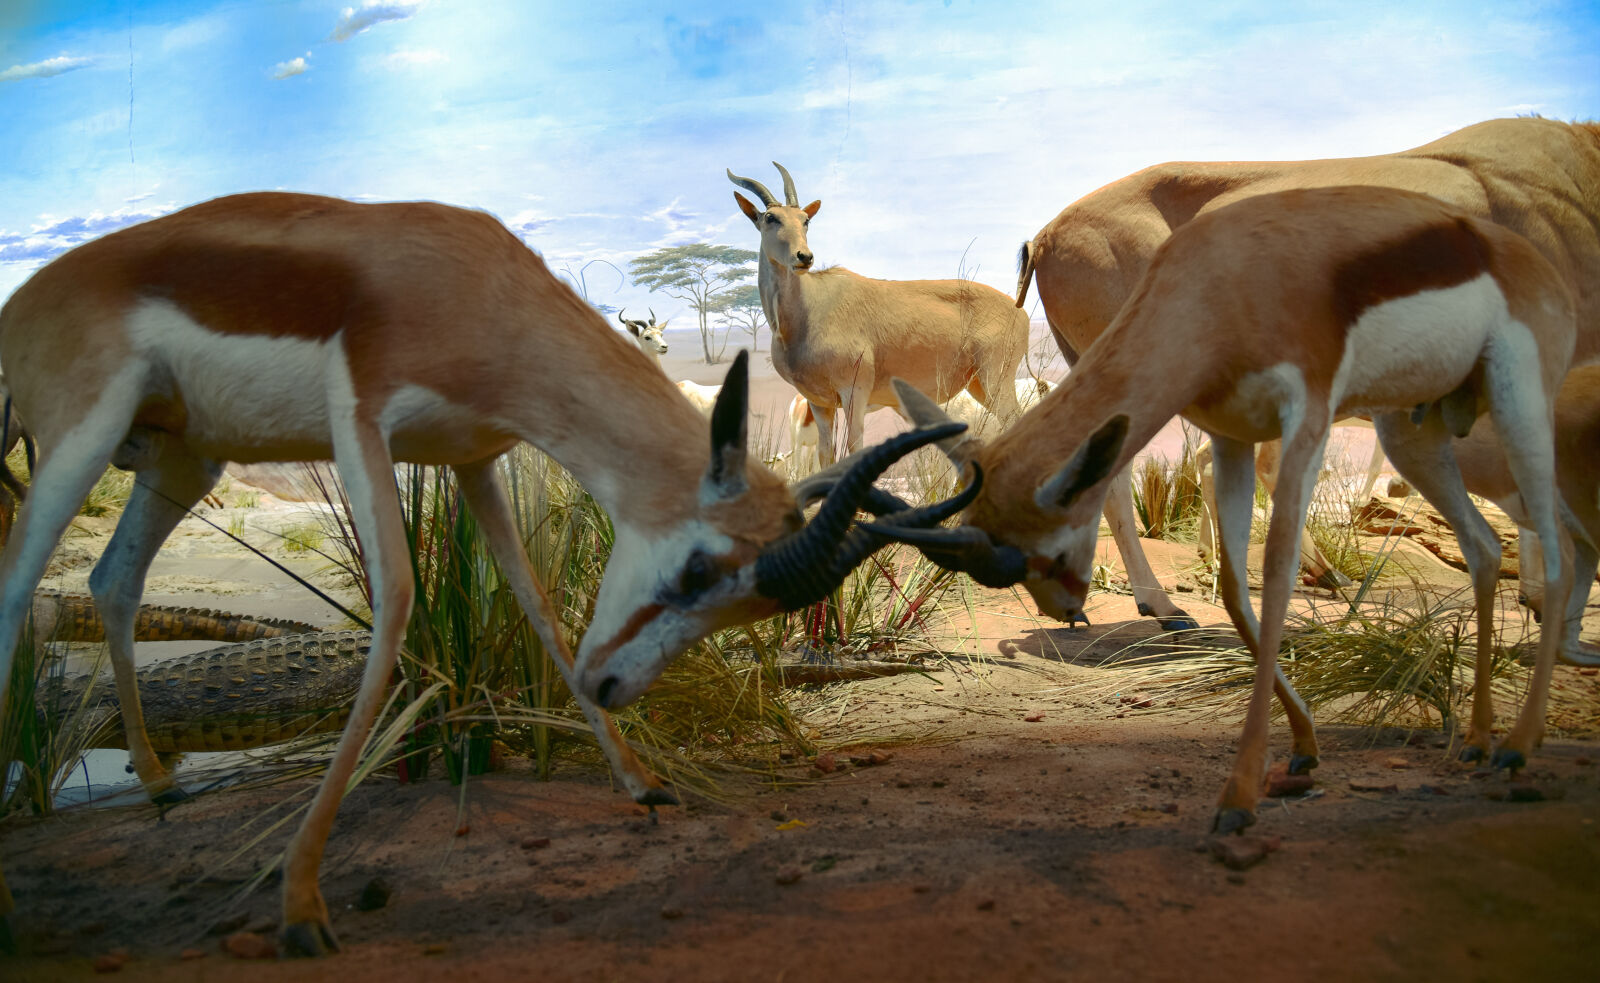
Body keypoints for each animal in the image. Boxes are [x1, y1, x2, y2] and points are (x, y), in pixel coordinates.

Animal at [0, 191, 969, 955]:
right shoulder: (364, 425)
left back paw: (160, 785)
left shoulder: (469, 457)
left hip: (180, 458)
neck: (475, 293)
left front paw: (644, 785)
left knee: (112, 583)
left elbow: (536, 601)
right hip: (80, 439)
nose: (611, 684)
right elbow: (395, 601)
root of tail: (27, 298)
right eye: (699, 568)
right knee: (20, 588)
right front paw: (302, 904)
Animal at [728, 162, 1031, 466]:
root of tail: (1019, 309)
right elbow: (826, 454)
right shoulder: (820, 403)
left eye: (805, 219)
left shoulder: (855, 394)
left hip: (996, 381)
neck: (806, 313)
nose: (804, 257)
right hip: (979, 385)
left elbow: (854, 447)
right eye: (770, 217)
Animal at [867, 186, 1576, 834]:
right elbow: (1237, 588)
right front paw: (1302, 750)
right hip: (1414, 431)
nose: (1068, 612)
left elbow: (1278, 567)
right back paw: (1481, 741)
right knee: (1484, 545)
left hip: (1515, 405)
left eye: (1042, 545)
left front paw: (1239, 797)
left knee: (1556, 545)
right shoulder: (1235, 432)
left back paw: (1520, 745)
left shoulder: (1304, 418)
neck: (1220, 283)